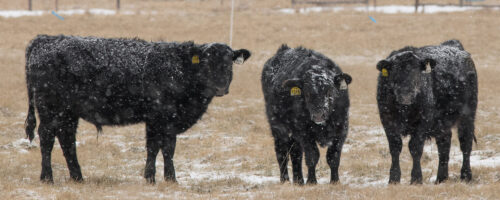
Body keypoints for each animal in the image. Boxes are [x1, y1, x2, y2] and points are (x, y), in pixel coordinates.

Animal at [23, 34, 250, 183]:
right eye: (206, 62)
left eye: (229, 63)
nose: (220, 87)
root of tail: (46, 39)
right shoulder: (163, 117)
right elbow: (163, 147)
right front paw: (166, 178)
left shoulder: (158, 120)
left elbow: (158, 147)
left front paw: (155, 177)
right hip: (50, 109)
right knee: (47, 138)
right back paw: (47, 177)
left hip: (68, 113)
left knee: (67, 138)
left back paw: (77, 177)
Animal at [262, 45, 352, 184]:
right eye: (308, 93)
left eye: (330, 91)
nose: (318, 115)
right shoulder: (304, 133)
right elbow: (312, 156)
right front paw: (311, 181)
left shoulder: (341, 130)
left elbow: (333, 157)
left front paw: (335, 181)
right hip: (278, 129)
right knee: (282, 153)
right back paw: (285, 180)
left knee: (296, 154)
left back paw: (299, 181)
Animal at [376, 39, 478, 185]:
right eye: (394, 72)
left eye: (417, 72)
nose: (406, 95)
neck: (405, 109)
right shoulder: (388, 121)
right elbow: (395, 147)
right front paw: (393, 179)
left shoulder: (422, 122)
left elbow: (415, 148)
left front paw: (416, 179)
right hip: (443, 123)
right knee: (444, 145)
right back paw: (441, 178)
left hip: (467, 115)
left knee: (465, 143)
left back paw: (466, 176)